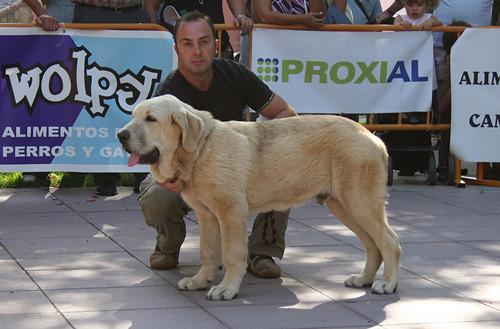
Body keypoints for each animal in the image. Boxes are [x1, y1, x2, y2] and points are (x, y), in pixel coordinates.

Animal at [117, 94, 402, 300]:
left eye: (151, 119)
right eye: (133, 117)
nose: (121, 135)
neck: (201, 149)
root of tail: (373, 136)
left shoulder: (231, 212)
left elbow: (232, 254)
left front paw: (227, 289)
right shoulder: (207, 216)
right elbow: (208, 252)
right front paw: (199, 281)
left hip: (359, 202)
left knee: (390, 243)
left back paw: (387, 284)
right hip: (343, 205)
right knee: (373, 245)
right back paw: (364, 279)